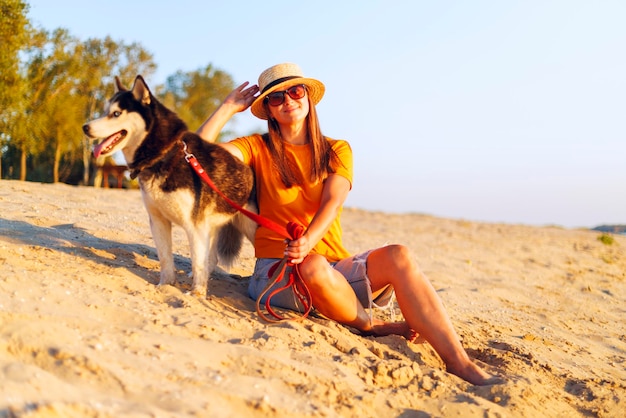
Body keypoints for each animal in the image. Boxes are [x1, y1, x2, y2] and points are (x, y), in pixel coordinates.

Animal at [83, 76, 256, 298]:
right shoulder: (158, 220)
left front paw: (197, 293)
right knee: (212, 258)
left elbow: (197, 261)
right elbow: (166, 258)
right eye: (105, 111)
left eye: (116, 114)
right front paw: (165, 285)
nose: (85, 127)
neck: (164, 154)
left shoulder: (194, 226)